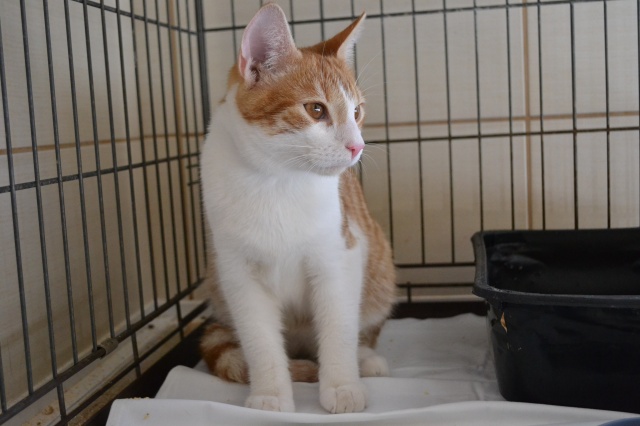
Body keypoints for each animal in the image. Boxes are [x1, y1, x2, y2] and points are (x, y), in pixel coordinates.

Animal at [198, 3, 396, 414]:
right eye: (316, 109)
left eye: (357, 111)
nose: (357, 146)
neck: (275, 181)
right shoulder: (236, 270)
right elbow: (259, 339)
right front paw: (270, 394)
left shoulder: (340, 253)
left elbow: (338, 325)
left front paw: (342, 386)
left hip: (379, 265)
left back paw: (364, 359)